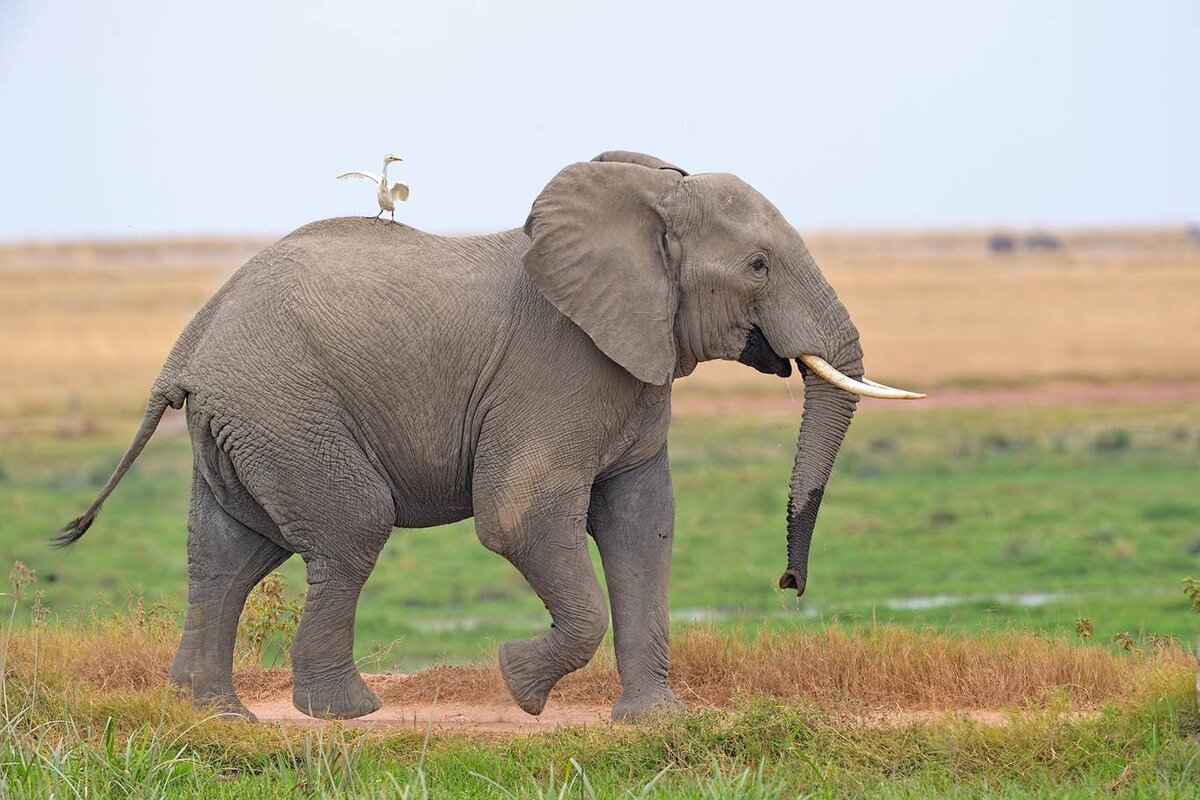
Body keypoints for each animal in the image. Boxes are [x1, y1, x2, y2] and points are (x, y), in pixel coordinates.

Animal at [56, 148, 921, 719]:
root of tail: (189, 343)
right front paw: (519, 685)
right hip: (286, 410)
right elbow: (519, 516)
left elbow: (643, 525)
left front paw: (656, 722)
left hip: (248, 422)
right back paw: (347, 712)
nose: (790, 583)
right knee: (349, 529)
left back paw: (211, 713)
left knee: (229, 554)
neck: (643, 204)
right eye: (759, 266)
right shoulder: (557, 367)